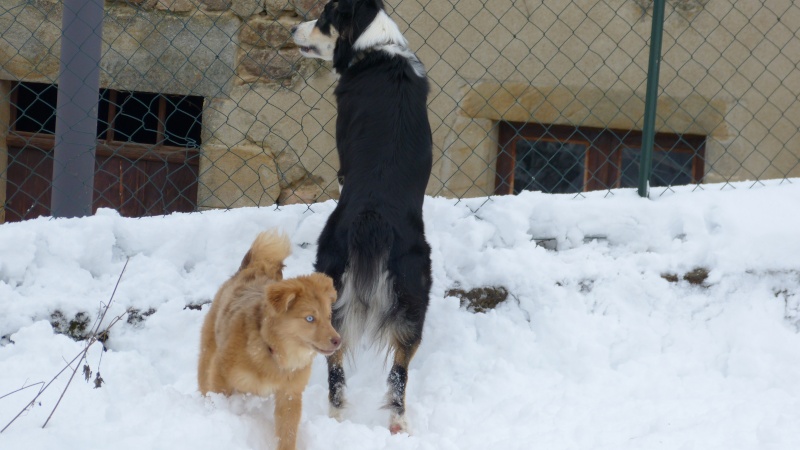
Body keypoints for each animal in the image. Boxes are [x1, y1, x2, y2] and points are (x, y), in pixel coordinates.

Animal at [199, 232, 340, 450]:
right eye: (310, 318)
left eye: (329, 317)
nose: (337, 341)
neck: (272, 351)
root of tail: (254, 267)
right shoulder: (221, 373)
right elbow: (219, 397)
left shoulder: (289, 395)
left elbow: (287, 432)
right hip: (208, 352)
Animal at [292, 0, 434, 436]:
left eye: (323, 19)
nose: (291, 29)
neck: (375, 47)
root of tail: (373, 219)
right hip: (414, 294)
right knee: (399, 372)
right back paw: (396, 424)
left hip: (331, 271)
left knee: (335, 361)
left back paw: (336, 417)